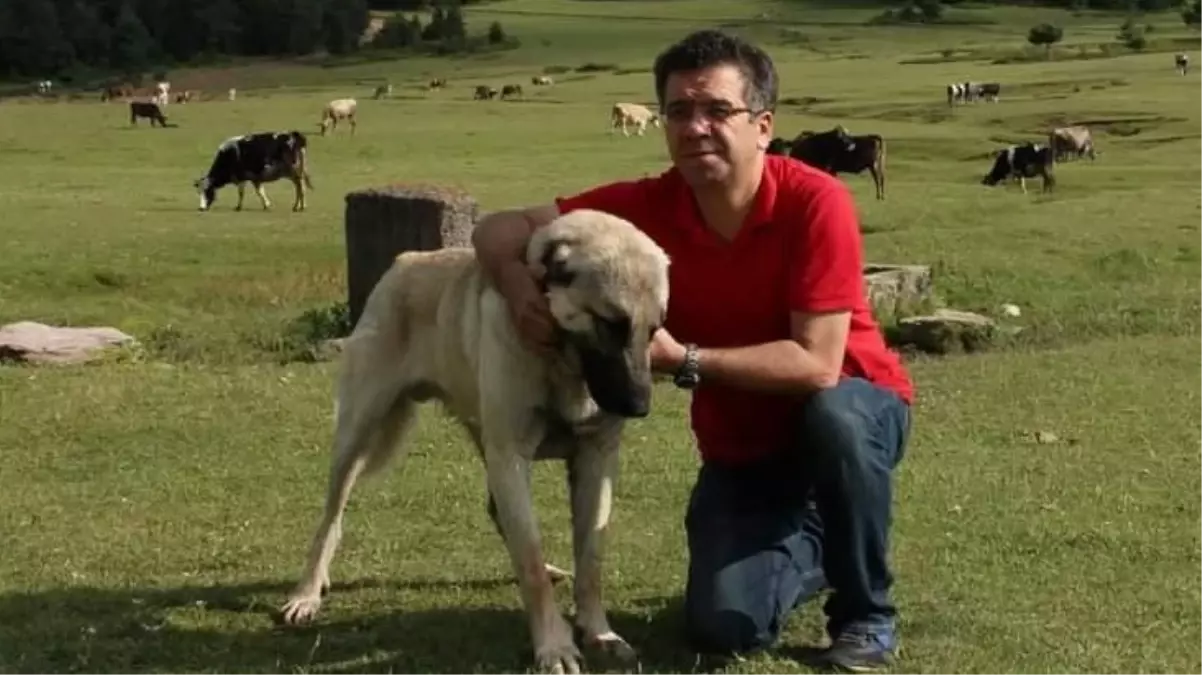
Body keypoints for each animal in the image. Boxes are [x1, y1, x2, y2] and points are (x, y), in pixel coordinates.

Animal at [281, 207, 673, 672]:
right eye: (610, 323)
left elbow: (590, 559)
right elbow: (530, 562)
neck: (560, 363)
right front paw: (554, 645)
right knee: (330, 518)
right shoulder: (511, 457)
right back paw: (307, 593)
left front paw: (599, 631)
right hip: (358, 434)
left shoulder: (596, 459)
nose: (639, 407)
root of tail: (405, 260)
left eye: (655, 330)